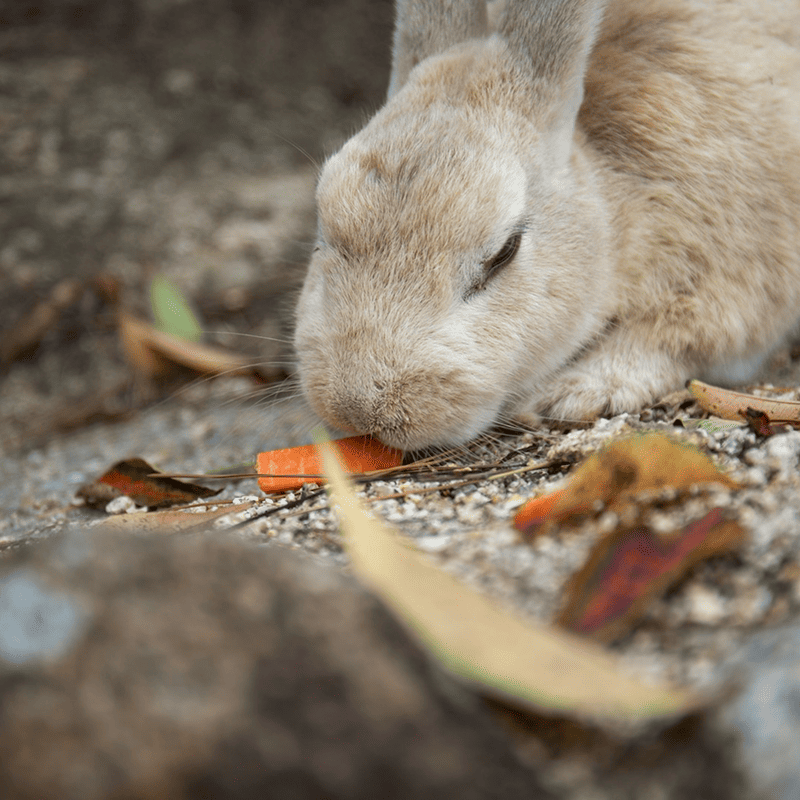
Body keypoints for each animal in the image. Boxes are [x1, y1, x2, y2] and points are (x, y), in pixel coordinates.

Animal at [294, 0, 800, 451]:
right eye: (324, 232)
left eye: (505, 252)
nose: (358, 409)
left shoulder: (735, 284)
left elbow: (676, 339)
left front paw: (575, 394)